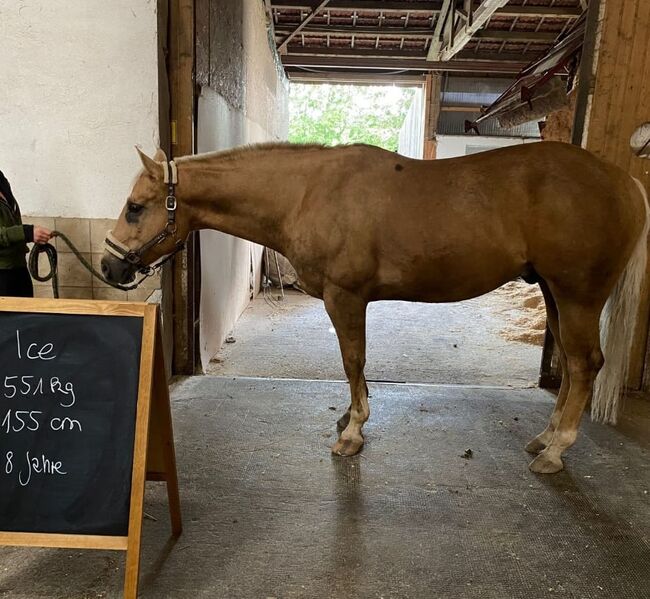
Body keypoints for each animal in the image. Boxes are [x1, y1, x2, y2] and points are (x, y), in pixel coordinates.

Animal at [101, 142, 648, 474]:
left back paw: (556, 450)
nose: (109, 267)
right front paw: (349, 418)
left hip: (577, 295)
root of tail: (623, 181)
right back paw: (544, 437)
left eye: (135, 206)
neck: (307, 193)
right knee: (573, 368)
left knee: (584, 364)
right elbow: (354, 366)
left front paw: (352, 433)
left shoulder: (345, 296)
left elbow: (353, 361)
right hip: (555, 293)